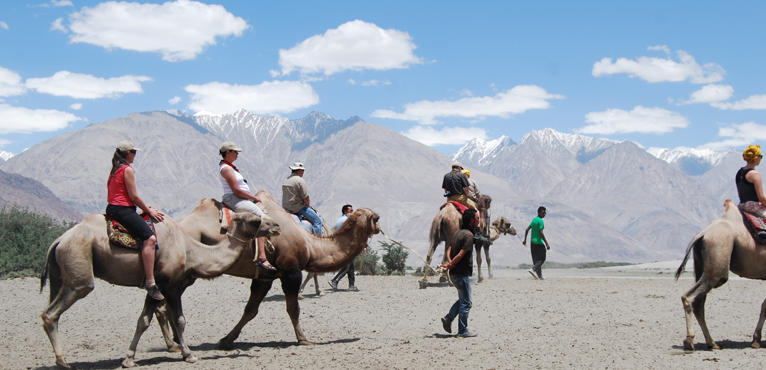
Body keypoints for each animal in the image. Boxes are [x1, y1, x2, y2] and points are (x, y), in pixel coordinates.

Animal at [39, 208, 280, 368]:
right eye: (255, 220)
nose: (276, 226)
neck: (191, 252)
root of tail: (58, 240)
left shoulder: (155, 287)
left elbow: (143, 321)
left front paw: (129, 359)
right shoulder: (168, 286)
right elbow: (180, 320)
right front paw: (189, 354)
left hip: (59, 275)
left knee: (52, 312)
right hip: (79, 271)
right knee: (52, 312)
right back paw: (63, 362)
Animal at [176, 192, 380, 348]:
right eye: (376, 218)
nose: (379, 226)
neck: (310, 243)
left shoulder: (264, 277)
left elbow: (250, 310)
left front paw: (226, 340)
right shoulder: (290, 271)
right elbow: (293, 309)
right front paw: (303, 339)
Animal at [676, 199, 766, 352]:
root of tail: (703, 234)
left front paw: (756, 340)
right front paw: (756, 340)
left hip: (702, 268)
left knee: (699, 304)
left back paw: (712, 343)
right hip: (717, 268)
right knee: (689, 297)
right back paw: (690, 341)